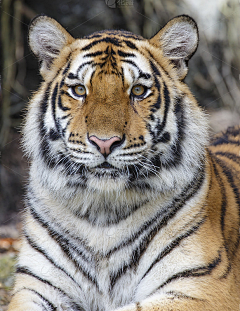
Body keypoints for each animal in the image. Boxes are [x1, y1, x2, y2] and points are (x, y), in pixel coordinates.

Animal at [7, 14, 240, 311]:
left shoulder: (202, 286)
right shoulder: (35, 285)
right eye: (79, 90)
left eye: (138, 90)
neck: (103, 210)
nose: (104, 142)